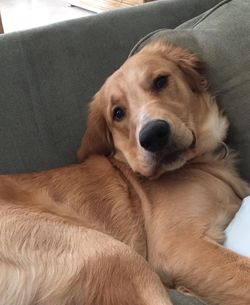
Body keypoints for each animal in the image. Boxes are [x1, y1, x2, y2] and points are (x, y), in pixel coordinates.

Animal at [0, 40, 250, 304]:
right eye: (118, 113)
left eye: (160, 81)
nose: (153, 136)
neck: (203, 163)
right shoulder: (179, 246)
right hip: (113, 252)